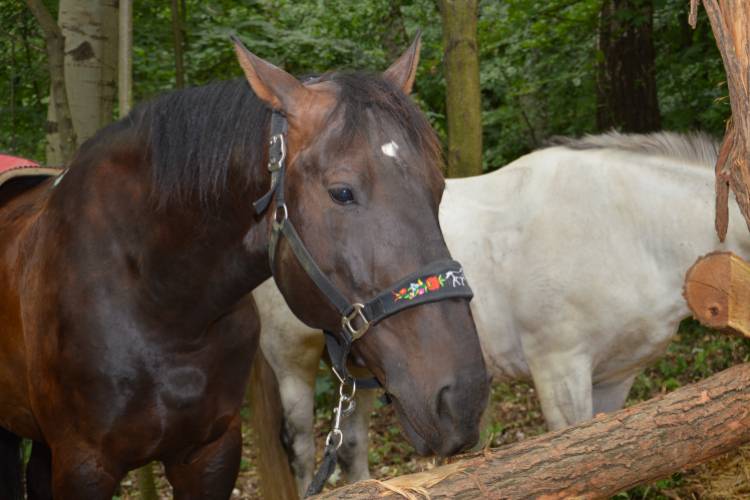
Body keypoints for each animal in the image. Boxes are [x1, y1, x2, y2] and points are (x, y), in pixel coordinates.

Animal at [0, 35, 490, 500]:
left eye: (438, 188)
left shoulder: (211, 454)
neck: (159, 302)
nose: (463, 397)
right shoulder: (84, 465)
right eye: (342, 193)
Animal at [253, 131, 750, 494]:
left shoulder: (616, 377)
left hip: (362, 364)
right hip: (294, 361)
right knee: (301, 447)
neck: (625, 228)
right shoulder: (559, 369)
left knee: (352, 446)